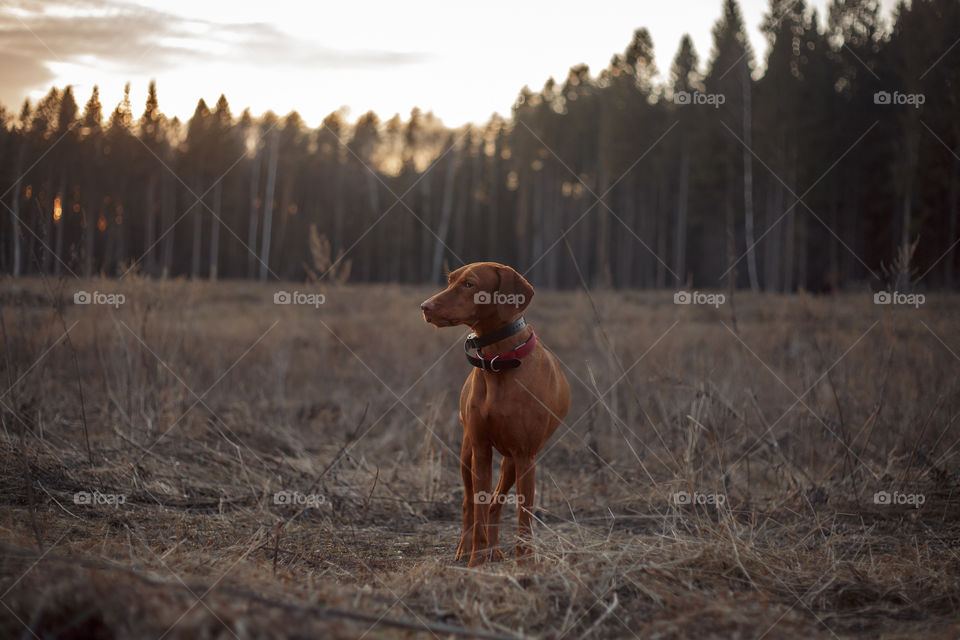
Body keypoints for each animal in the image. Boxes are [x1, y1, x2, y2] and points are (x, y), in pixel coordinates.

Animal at [420, 262, 568, 564]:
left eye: (470, 284)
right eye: (451, 280)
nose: (424, 306)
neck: (499, 361)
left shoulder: (525, 456)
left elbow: (523, 516)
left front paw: (525, 562)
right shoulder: (481, 449)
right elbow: (477, 507)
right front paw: (476, 559)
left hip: (510, 462)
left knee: (495, 504)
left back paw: (496, 549)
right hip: (467, 453)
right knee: (469, 503)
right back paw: (466, 550)